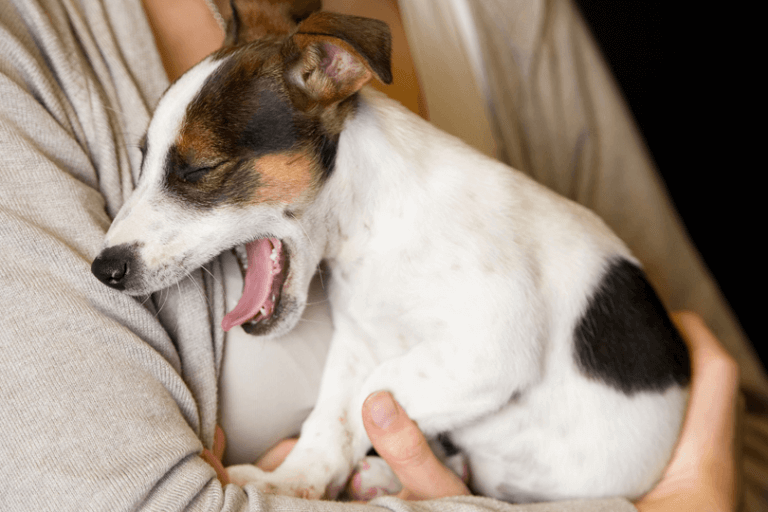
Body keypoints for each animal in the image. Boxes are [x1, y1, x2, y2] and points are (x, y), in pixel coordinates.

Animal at [90, 1, 688, 504]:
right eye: (143, 159)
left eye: (198, 168)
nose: (103, 269)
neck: (370, 227)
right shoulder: (359, 341)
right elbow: (331, 420)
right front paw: (293, 481)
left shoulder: (488, 346)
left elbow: (370, 396)